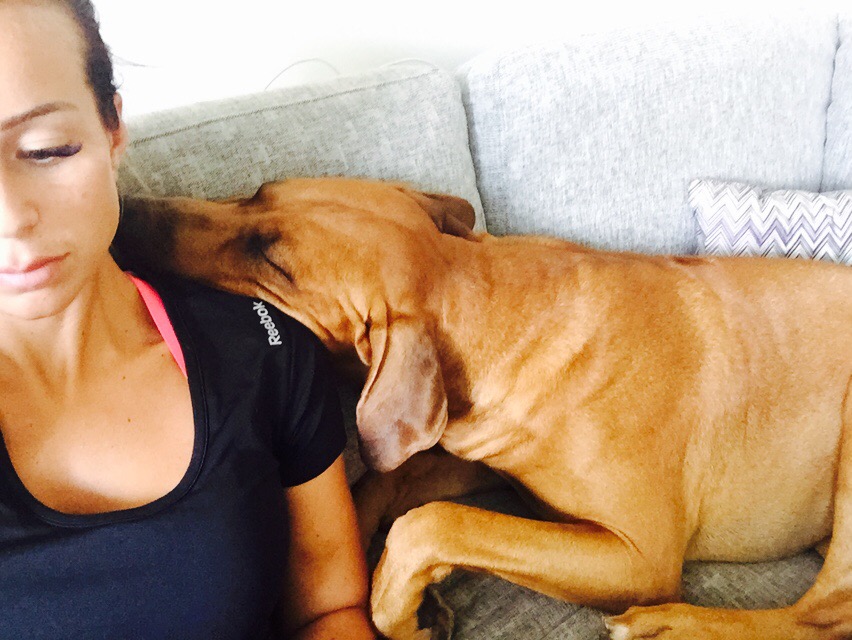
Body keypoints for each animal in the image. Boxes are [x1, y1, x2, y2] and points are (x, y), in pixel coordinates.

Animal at [115, 176, 852, 640]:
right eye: (257, 191)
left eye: (275, 265)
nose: (124, 213)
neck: (490, 297)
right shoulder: (475, 459)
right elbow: (383, 484)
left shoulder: (640, 558)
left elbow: (432, 523)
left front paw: (401, 612)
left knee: (821, 614)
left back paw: (671, 625)